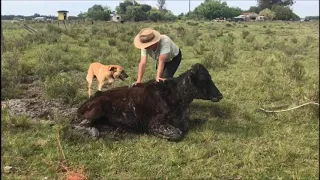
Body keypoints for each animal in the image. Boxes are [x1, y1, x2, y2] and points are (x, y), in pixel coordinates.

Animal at [77, 63, 222, 141]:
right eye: (203, 79)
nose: (220, 95)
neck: (175, 95)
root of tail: (95, 95)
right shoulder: (155, 123)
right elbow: (177, 133)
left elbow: (185, 125)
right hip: (98, 108)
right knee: (82, 124)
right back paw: (95, 132)